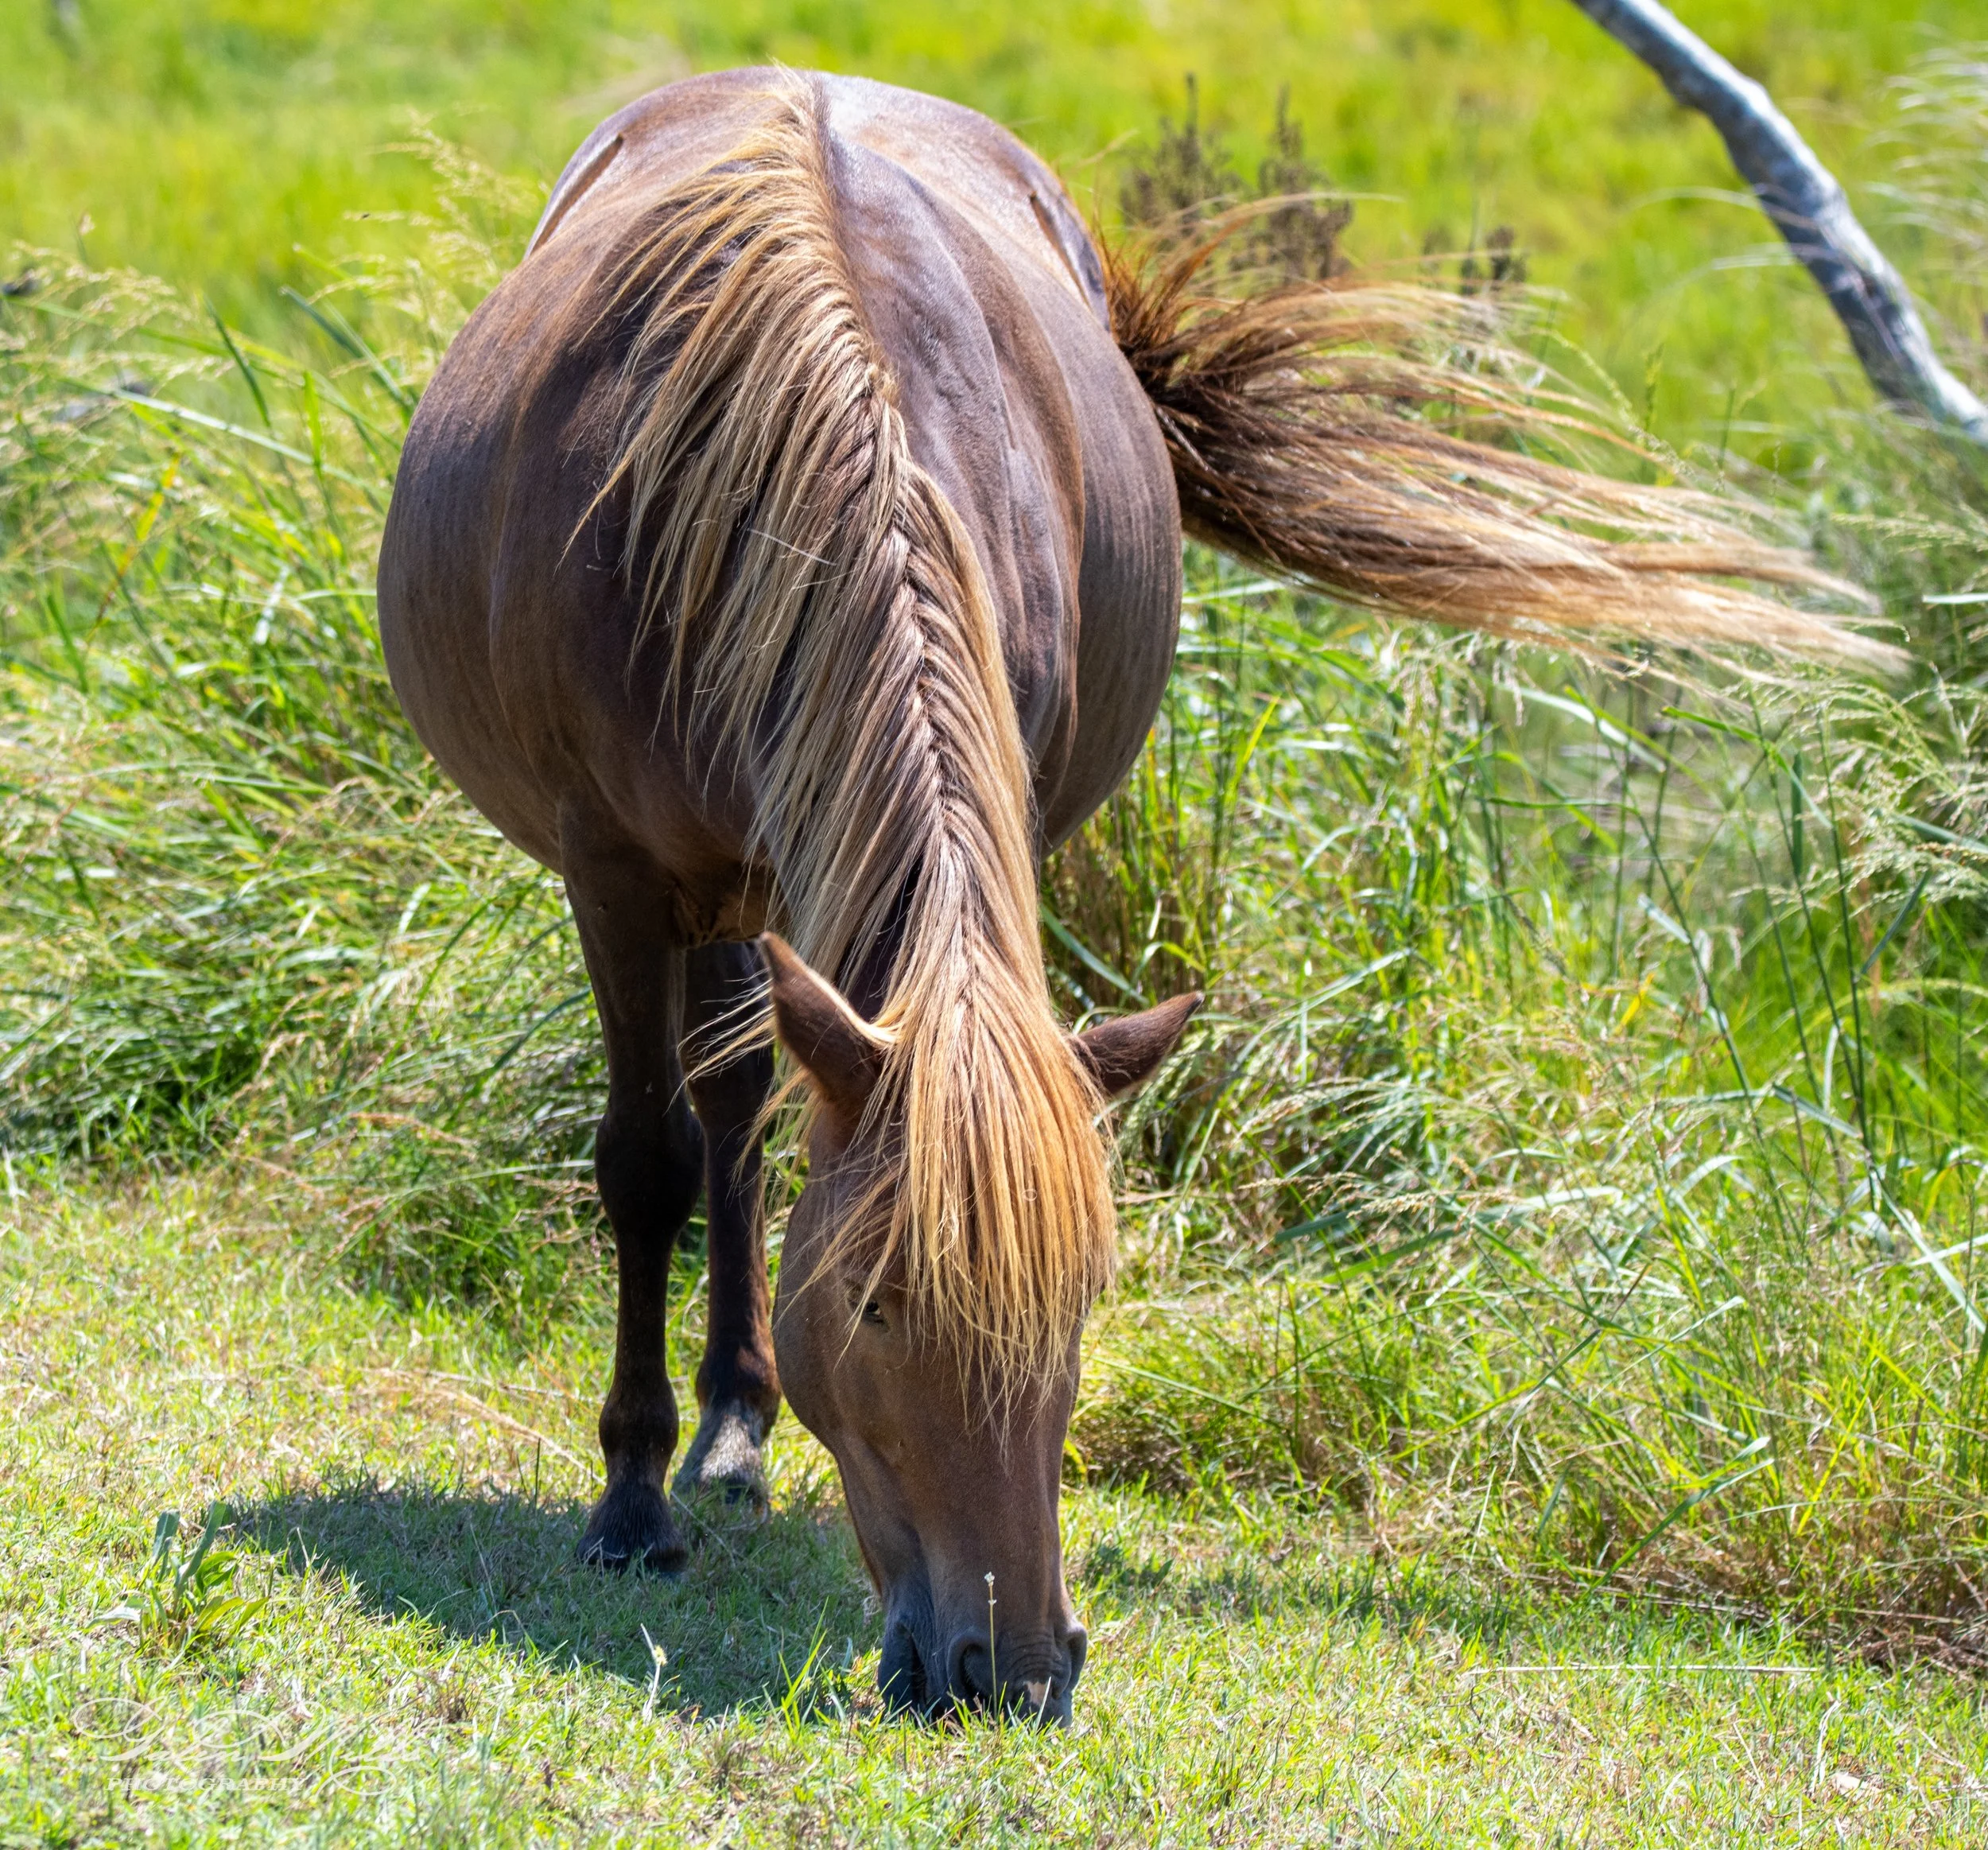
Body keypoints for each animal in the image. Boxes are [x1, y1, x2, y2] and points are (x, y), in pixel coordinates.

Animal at [377, 67, 1885, 1724]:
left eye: (1079, 1308)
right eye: (883, 1302)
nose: (1013, 1668)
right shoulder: (615, 871)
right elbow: (642, 1166)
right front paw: (629, 1500)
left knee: (746, 1109)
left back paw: (736, 1426)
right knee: (713, 1126)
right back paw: (697, 1446)